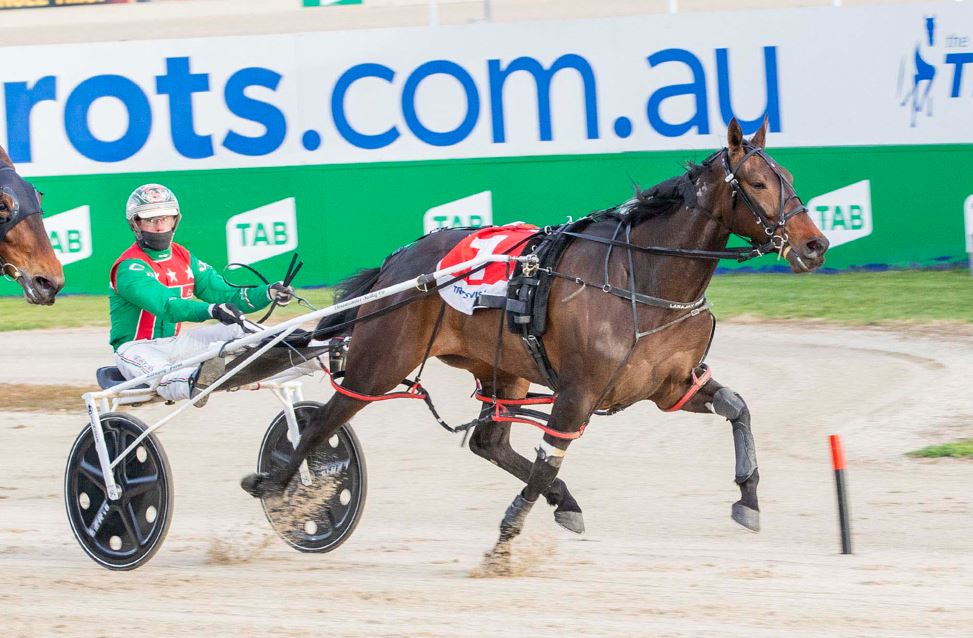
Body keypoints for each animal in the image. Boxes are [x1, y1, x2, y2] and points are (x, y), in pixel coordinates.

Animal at [239, 118, 830, 558]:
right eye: (757, 183)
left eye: (789, 175)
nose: (815, 244)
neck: (645, 276)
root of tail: (398, 263)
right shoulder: (578, 393)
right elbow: (550, 457)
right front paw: (506, 540)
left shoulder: (670, 385)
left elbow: (737, 407)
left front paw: (748, 497)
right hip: (379, 363)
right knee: (323, 420)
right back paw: (281, 487)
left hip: (501, 368)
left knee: (488, 441)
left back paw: (562, 499)